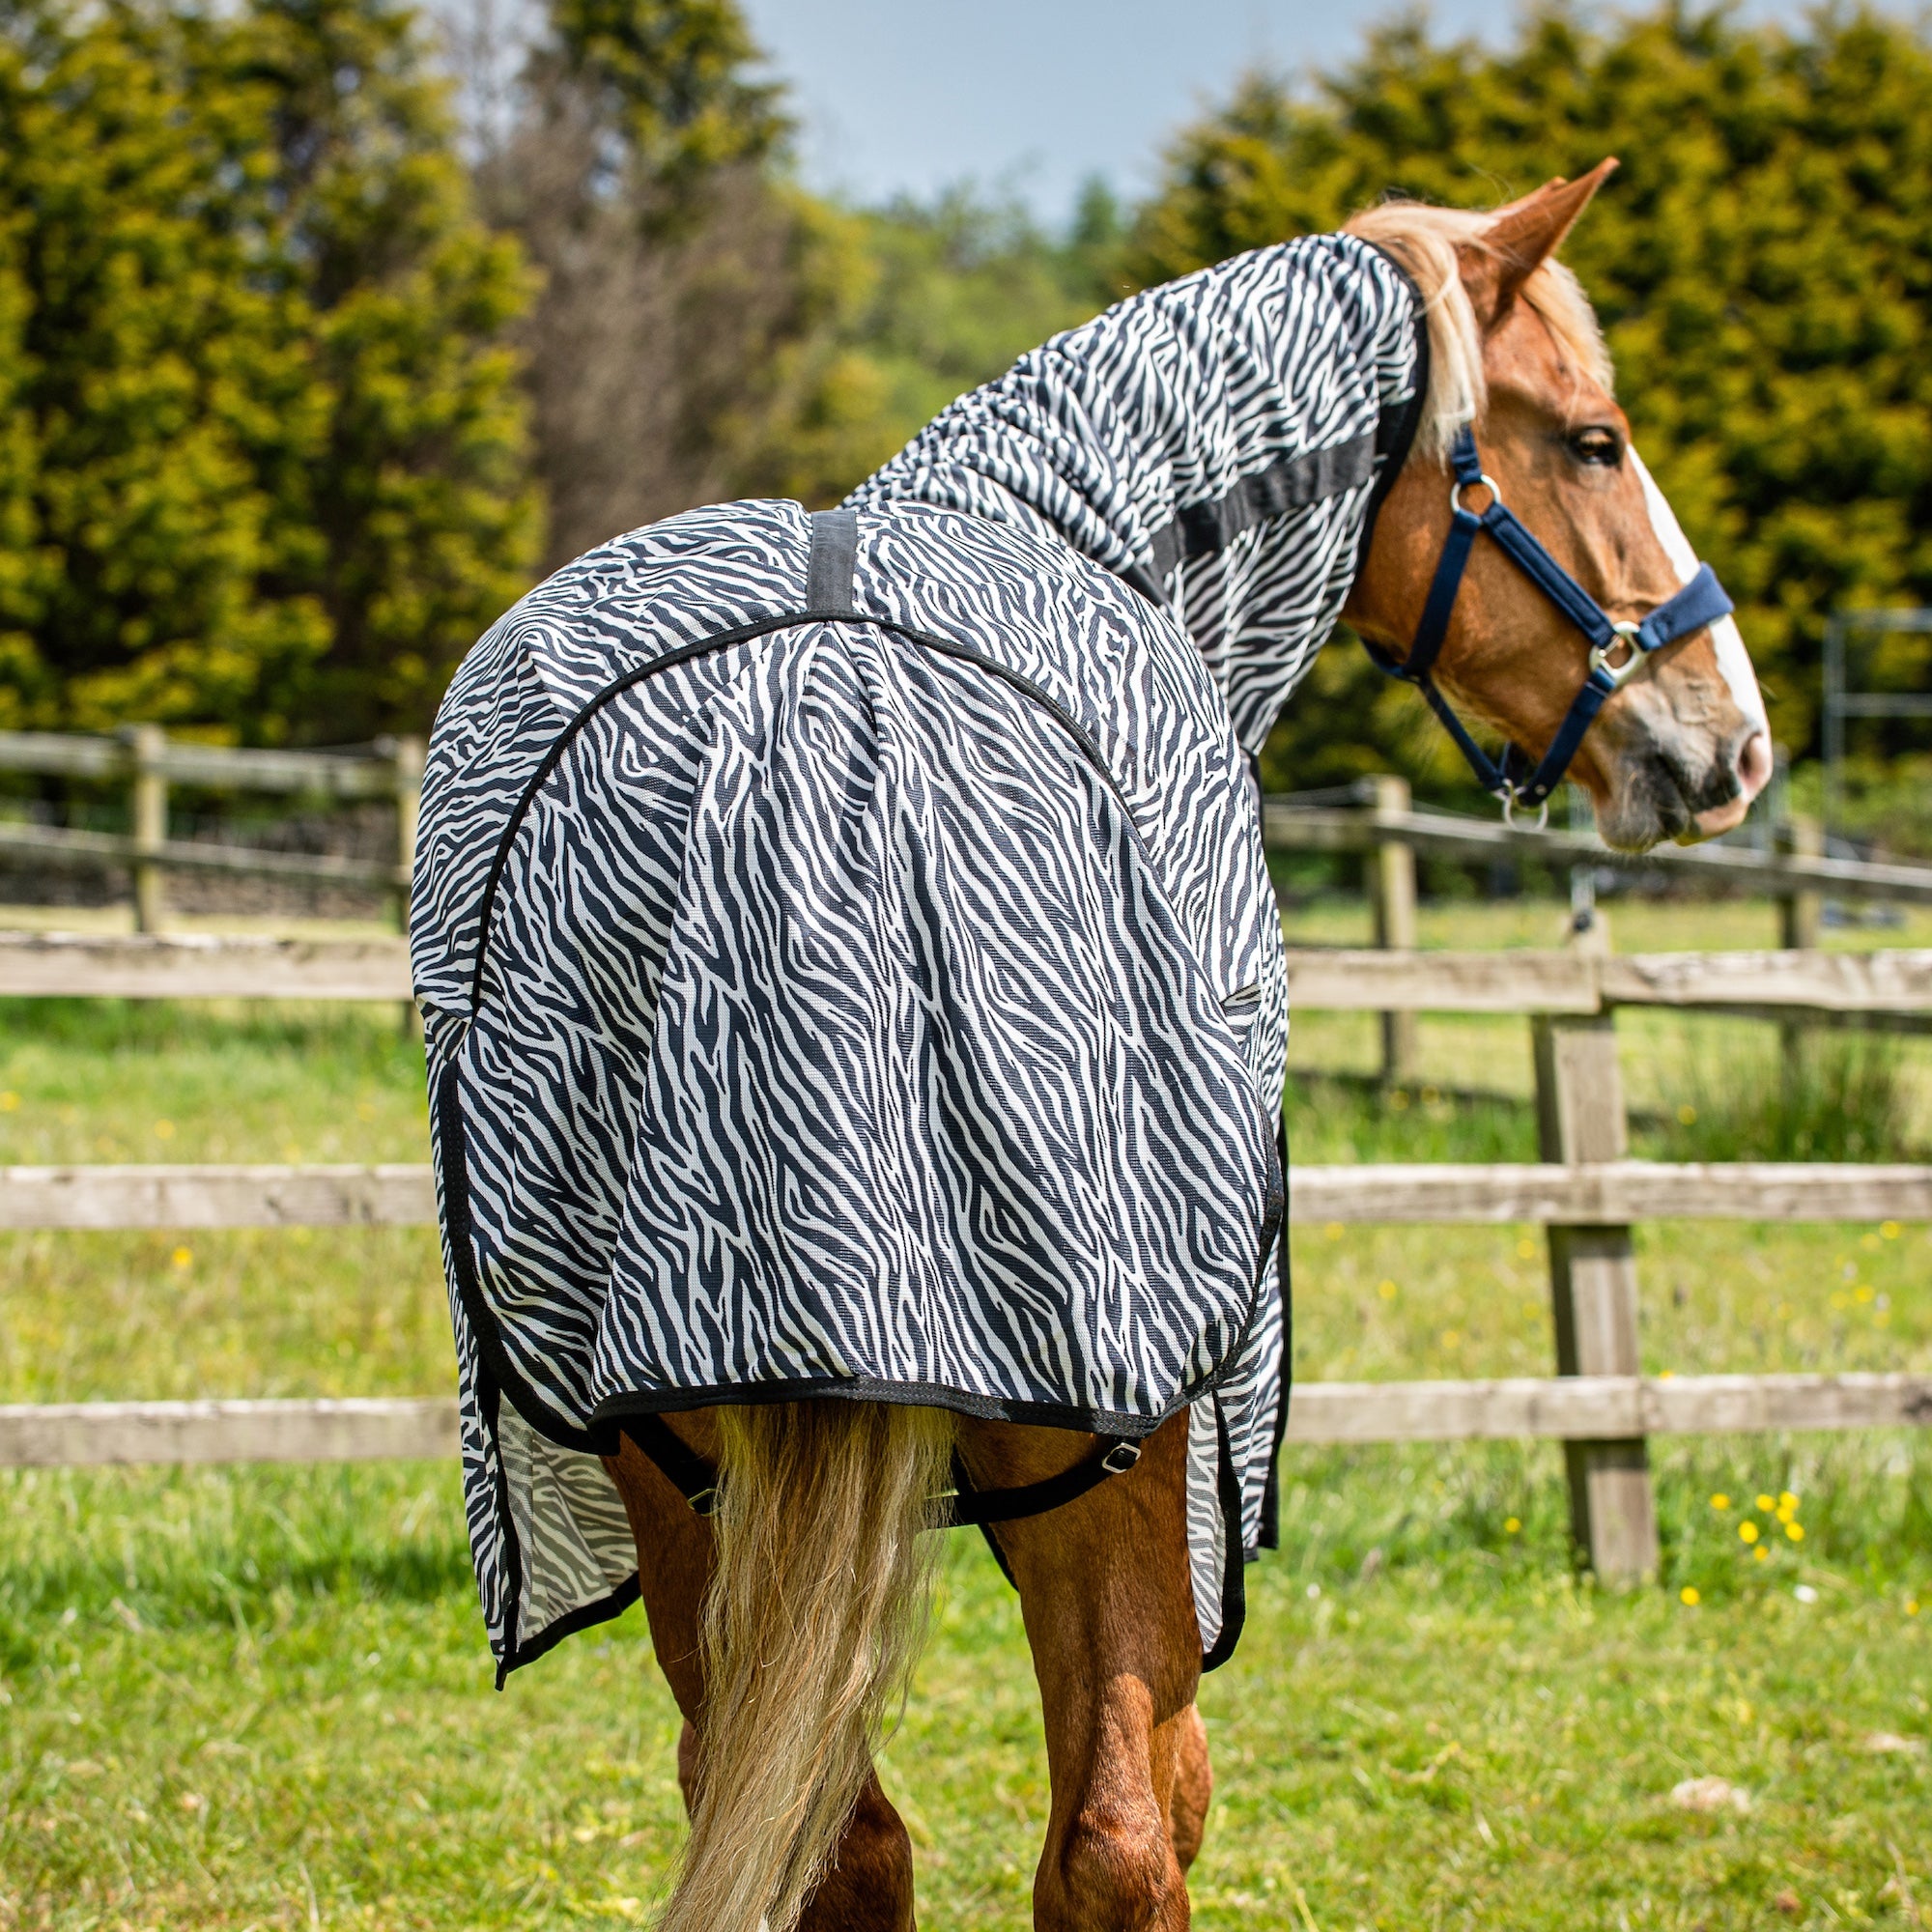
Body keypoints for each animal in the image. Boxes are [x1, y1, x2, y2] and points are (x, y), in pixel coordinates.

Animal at [414, 158, 1768, 1932]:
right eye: (1596, 439)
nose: (1732, 739)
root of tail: (829, 709)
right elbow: (1151, 1812)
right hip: (1120, 1437)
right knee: (1118, 1839)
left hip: (657, 1434)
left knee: (835, 1836)